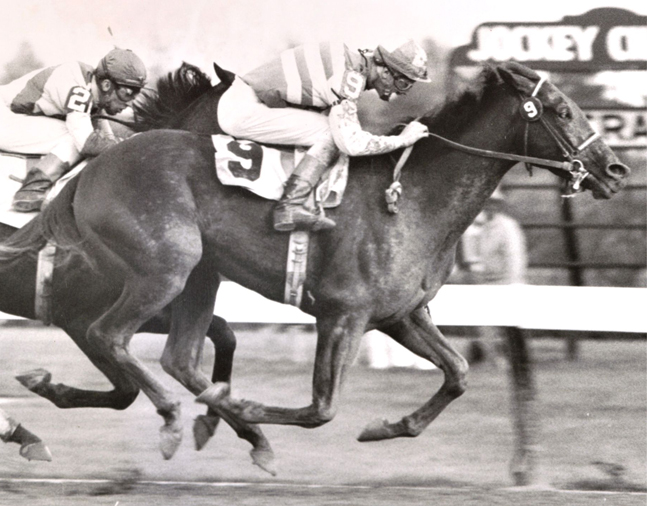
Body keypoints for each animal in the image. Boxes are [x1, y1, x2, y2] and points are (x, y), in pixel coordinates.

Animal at [0, 60, 632, 474]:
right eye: (560, 110)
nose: (616, 169)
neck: (414, 196)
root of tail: (94, 169)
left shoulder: (400, 314)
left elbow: (457, 372)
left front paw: (388, 427)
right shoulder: (343, 314)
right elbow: (321, 409)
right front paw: (243, 410)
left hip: (195, 277)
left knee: (175, 356)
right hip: (164, 271)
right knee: (114, 337)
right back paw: (179, 419)